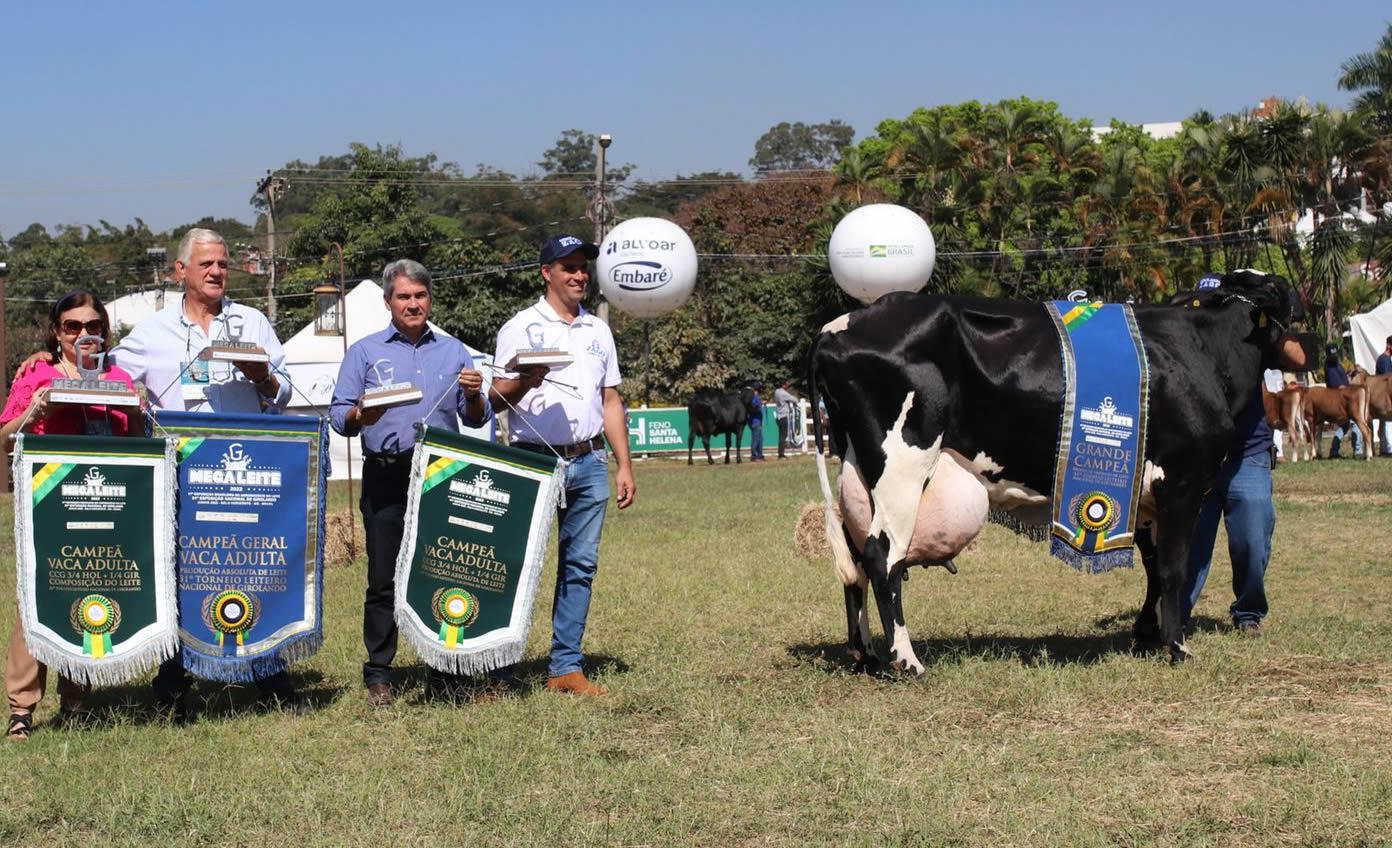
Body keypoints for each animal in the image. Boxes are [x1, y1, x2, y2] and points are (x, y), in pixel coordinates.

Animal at [807, 267, 1302, 671]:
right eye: (1287, 300)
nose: (1302, 356)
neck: (1204, 350)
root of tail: (840, 326)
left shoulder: (1144, 497)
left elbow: (1152, 568)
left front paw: (1146, 637)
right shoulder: (1183, 482)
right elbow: (1173, 570)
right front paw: (1177, 648)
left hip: (856, 471)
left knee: (854, 559)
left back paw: (867, 656)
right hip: (903, 466)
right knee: (882, 556)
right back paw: (906, 660)